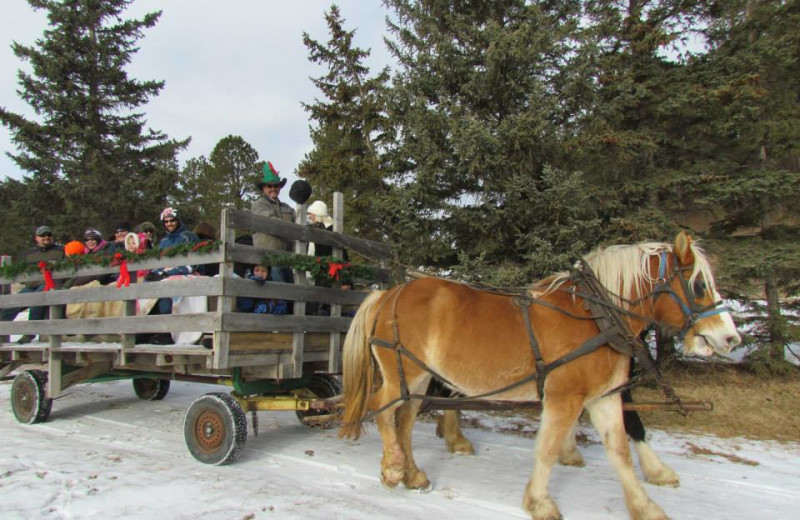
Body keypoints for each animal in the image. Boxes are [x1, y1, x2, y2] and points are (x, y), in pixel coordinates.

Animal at [338, 233, 736, 520]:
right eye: (699, 286)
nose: (731, 338)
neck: (597, 317)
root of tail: (389, 293)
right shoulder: (564, 397)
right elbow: (546, 449)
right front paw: (540, 502)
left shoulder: (604, 397)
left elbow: (620, 450)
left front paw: (645, 505)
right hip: (401, 373)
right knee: (382, 408)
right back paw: (392, 469)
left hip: (418, 380)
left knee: (403, 420)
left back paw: (413, 473)